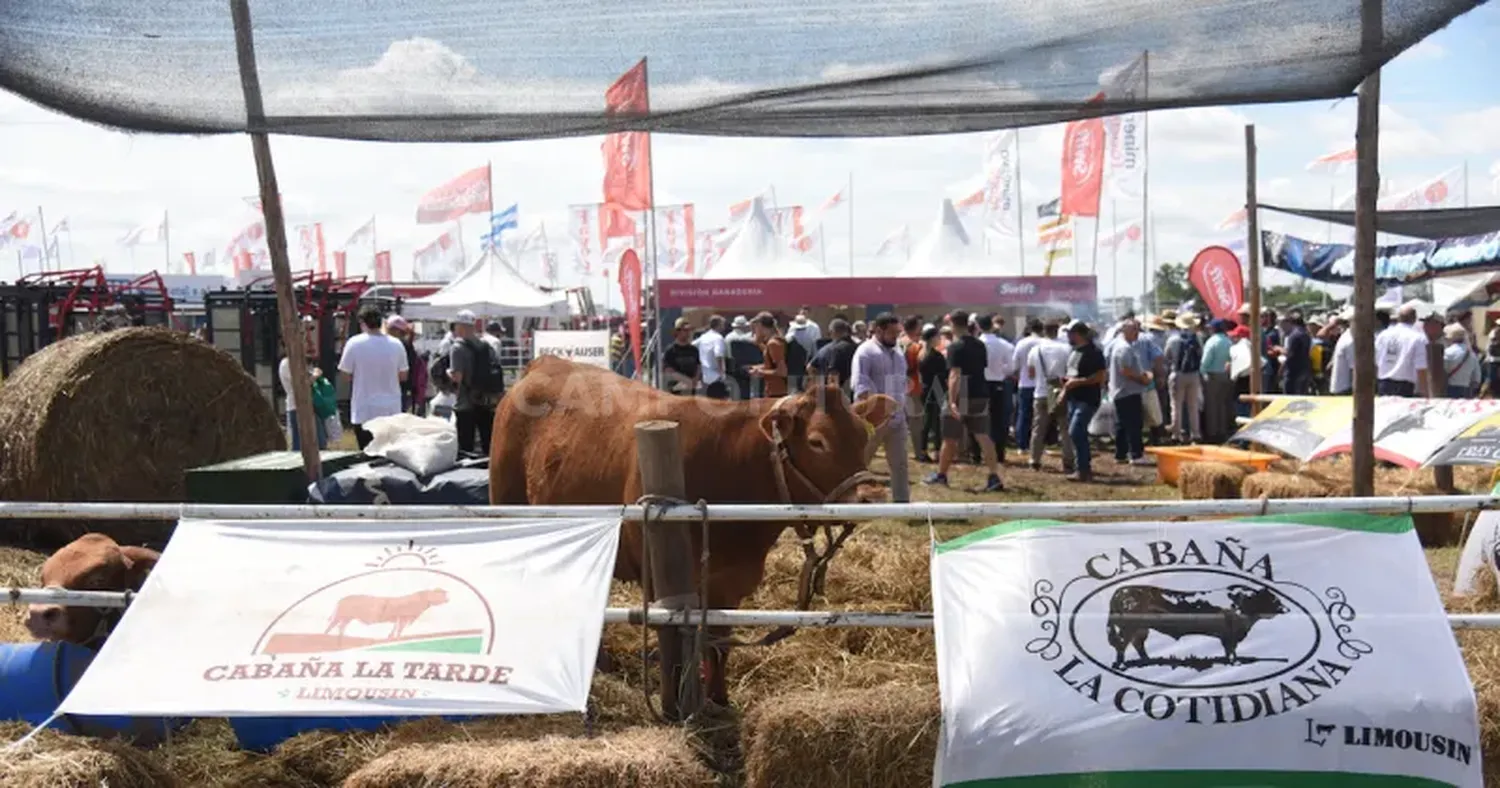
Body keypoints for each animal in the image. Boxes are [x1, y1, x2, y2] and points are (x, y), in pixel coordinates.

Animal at [486, 355, 894, 705]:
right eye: (817, 442)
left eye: (863, 436)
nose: (872, 496)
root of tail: (545, 362)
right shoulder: (667, 584)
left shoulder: (730, 585)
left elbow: (718, 643)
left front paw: (718, 699)